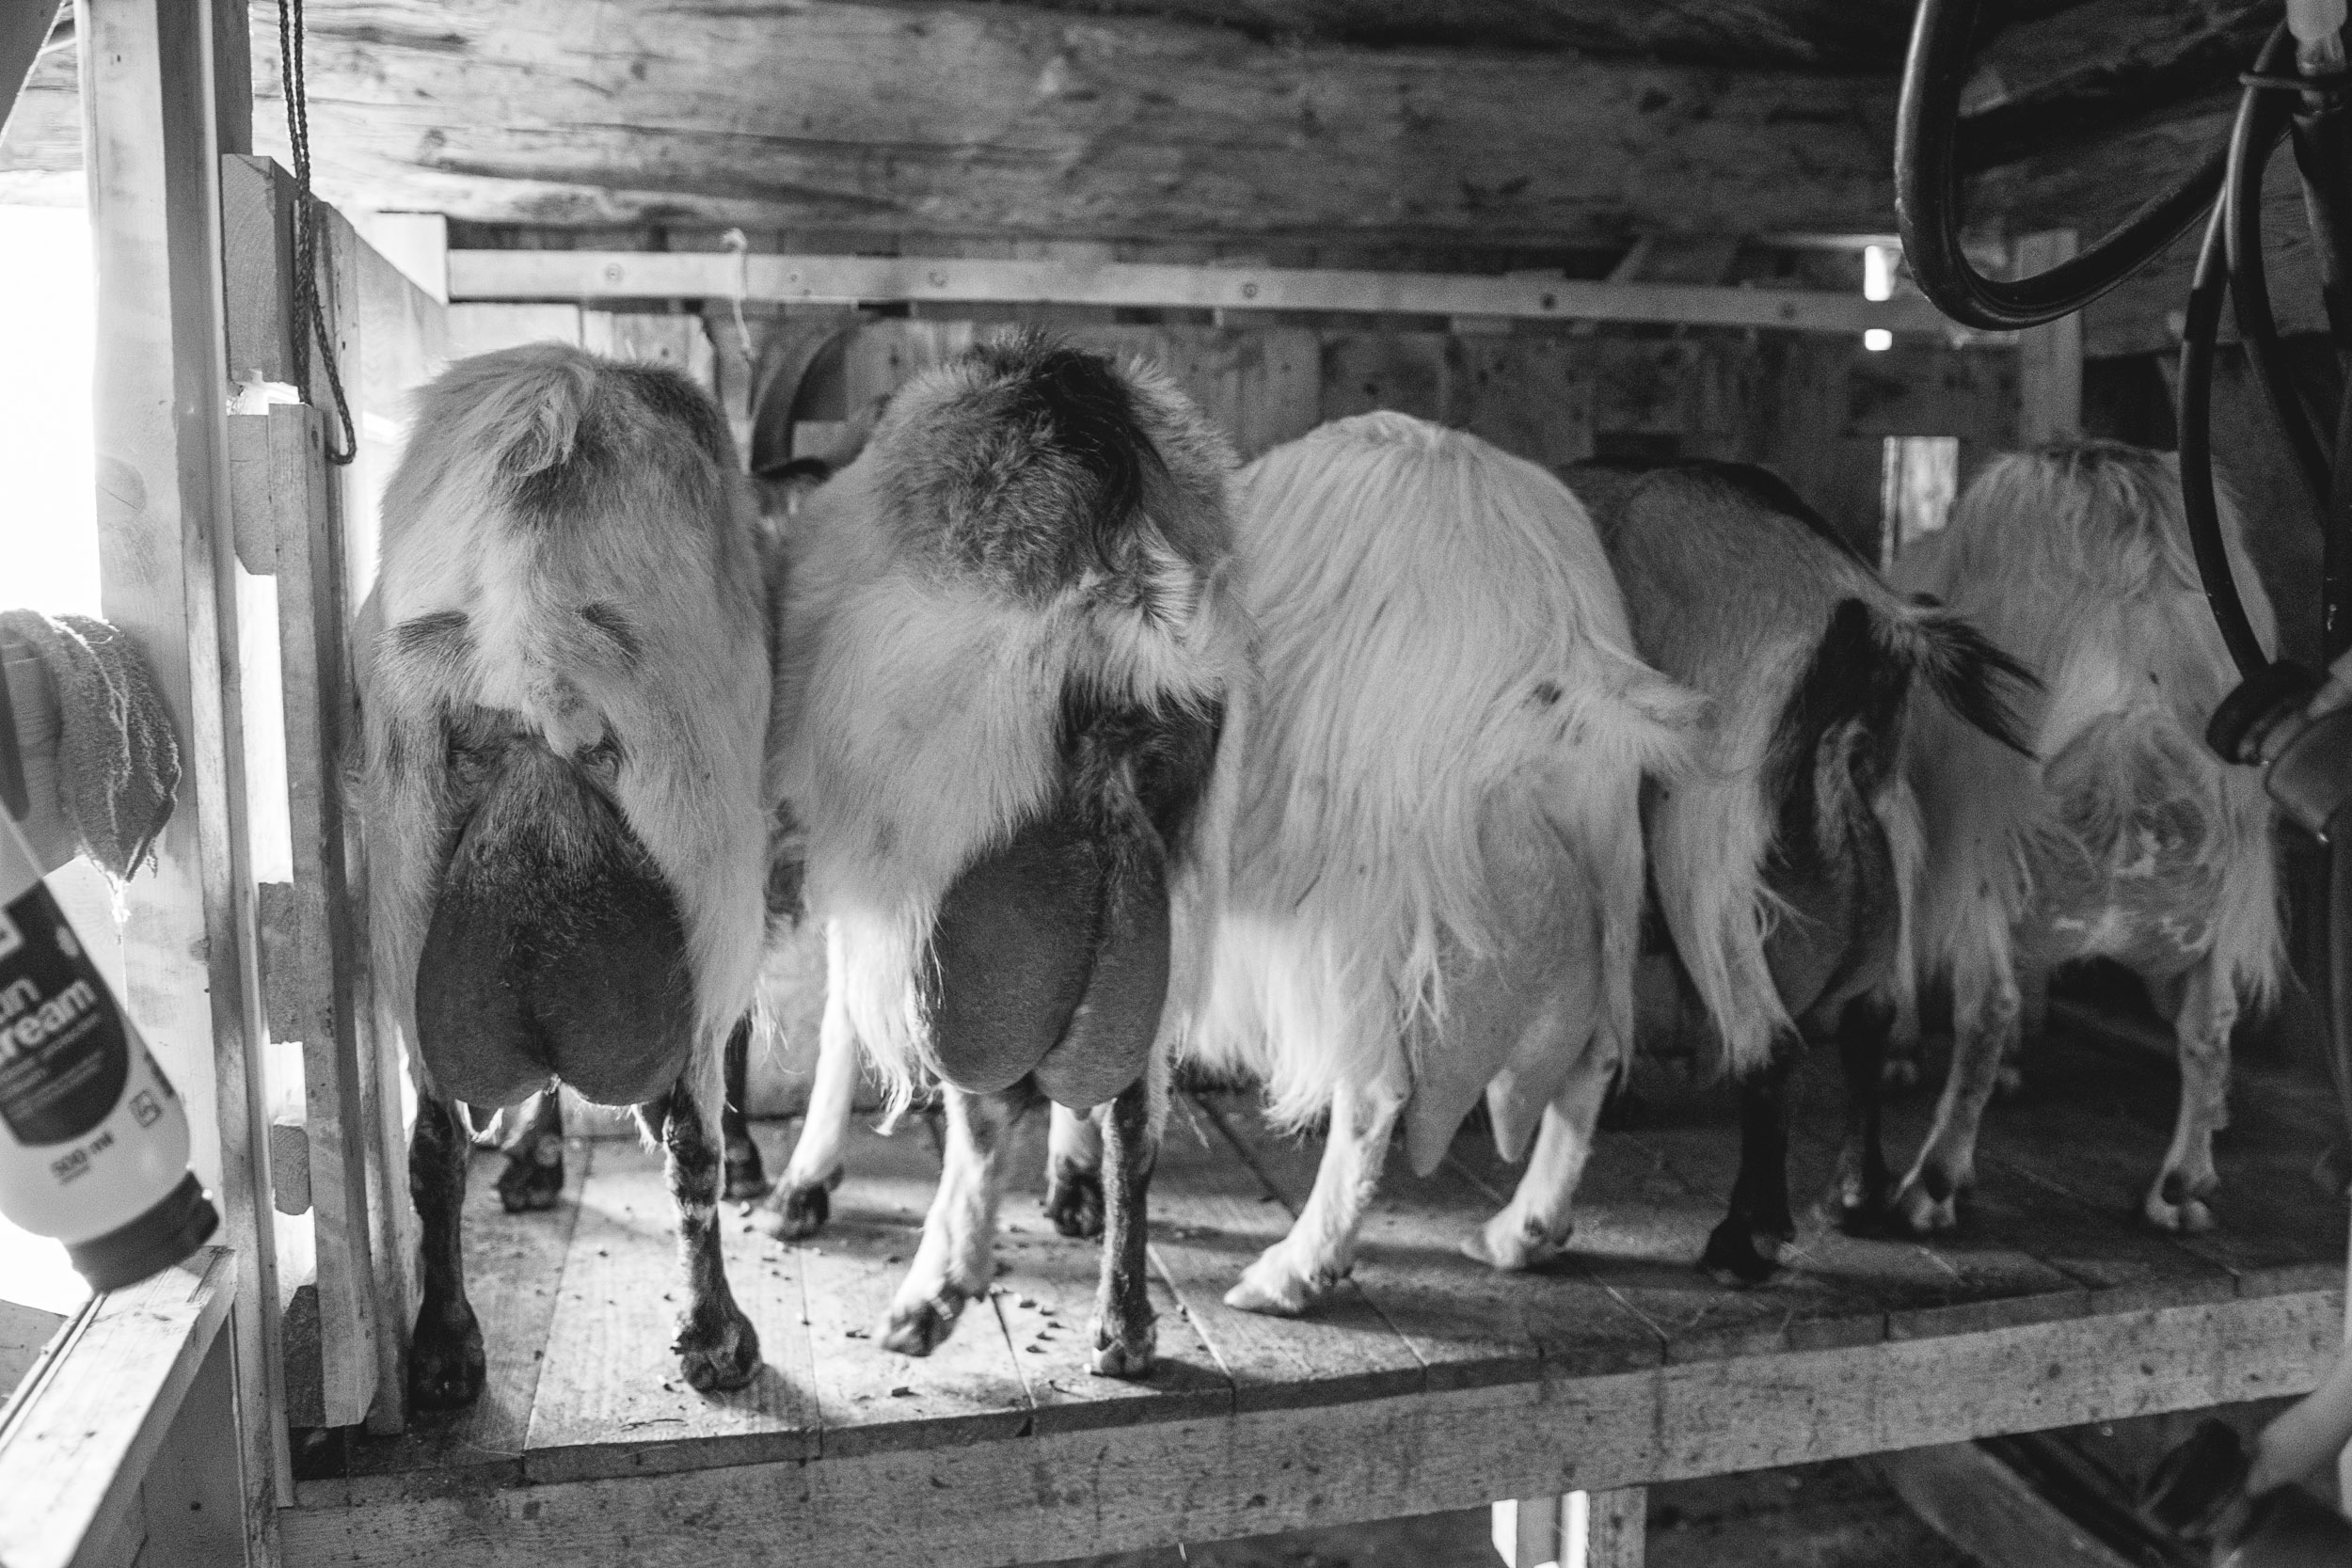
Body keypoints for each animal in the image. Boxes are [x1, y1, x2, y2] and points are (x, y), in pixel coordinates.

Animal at [356, 343, 772, 1408]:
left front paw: (534, 1163)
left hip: (404, 894)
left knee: (433, 1143)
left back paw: (444, 1347)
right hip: (713, 883)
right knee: (693, 1139)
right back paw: (718, 1335)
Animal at [750, 331, 1248, 1376]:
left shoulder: (867, 858)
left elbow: (839, 1020)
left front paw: (803, 1185)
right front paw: (1071, 1183)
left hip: (959, 898)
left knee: (985, 1108)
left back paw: (935, 1291)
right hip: (1173, 880)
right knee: (1134, 1099)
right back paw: (1123, 1320)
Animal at [1183, 413, 1701, 1315]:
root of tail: (1551, 639)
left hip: (1365, 899)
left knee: (1375, 1091)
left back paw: (1293, 1270)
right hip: (1608, 861)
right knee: (1596, 1053)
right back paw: (1523, 1230)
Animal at [1557, 461, 2034, 1281]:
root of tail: (1863, 619)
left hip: (1706, 847)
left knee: (1769, 1039)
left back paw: (1742, 1240)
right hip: (1891, 827)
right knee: (1871, 1016)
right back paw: (1854, 1193)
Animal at [1890, 441, 2284, 1234]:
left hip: (1982, 836)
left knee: (1987, 1006)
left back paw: (1935, 1179)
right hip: (2221, 882)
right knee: (2210, 1018)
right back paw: (2182, 1182)